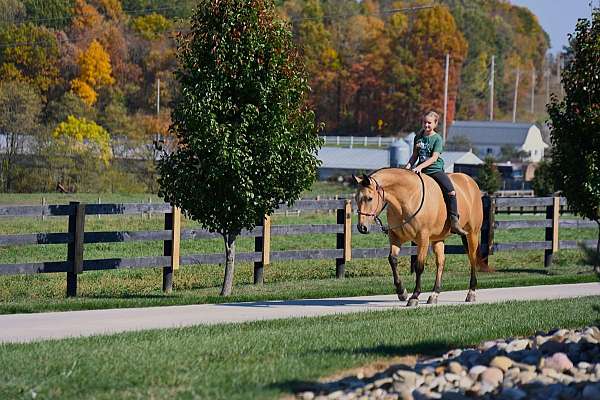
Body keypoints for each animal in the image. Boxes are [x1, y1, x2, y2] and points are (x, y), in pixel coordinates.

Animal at [354, 169, 490, 306]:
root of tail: (470, 182)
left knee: (472, 259)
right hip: (438, 239)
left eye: (369, 198)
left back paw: (471, 293)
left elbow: (419, 266)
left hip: (472, 234)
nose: (362, 227)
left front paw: (414, 296)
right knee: (441, 262)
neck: (407, 198)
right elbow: (392, 260)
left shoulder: (423, 239)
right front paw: (401, 292)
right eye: (356, 198)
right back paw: (434, 294)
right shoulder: (395, 237)